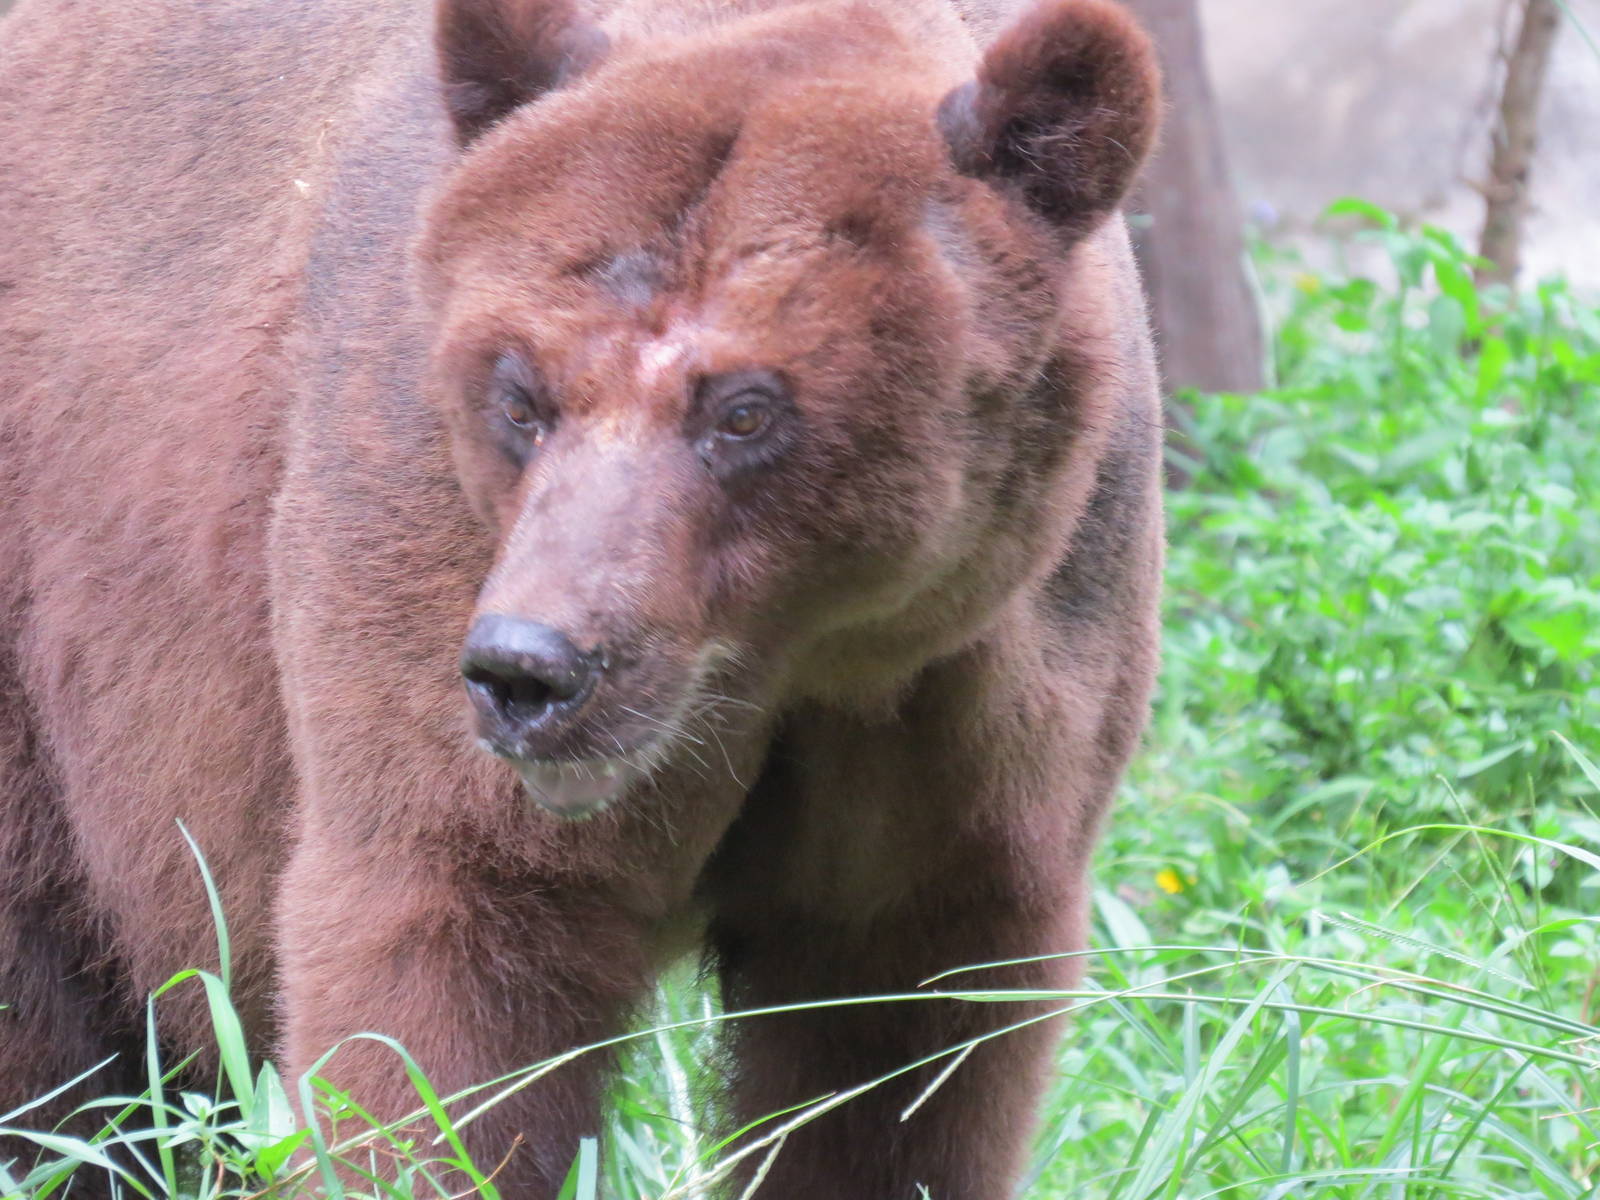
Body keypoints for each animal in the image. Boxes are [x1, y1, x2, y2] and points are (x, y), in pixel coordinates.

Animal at [0, 0, 1163, 1194]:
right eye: (521, 395)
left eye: (744, 408)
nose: (529, 670)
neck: (812, 659)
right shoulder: (417, 530)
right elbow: (444, 970)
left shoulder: (995, 696)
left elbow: (904, 1060)